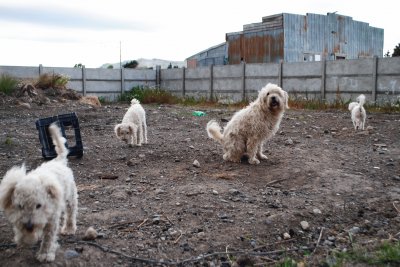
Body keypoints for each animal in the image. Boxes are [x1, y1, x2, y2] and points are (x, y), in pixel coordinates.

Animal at [0, 123, 78, 264]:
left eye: (39, 205)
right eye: (20, 206)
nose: (29, 226)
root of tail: (59, 160)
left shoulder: (52, 219)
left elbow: (48, 238)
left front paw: (45, 254)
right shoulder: (20, 217)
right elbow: (20, 227)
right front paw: (23, 238)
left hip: (70, 196)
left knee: (71, 211)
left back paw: (69, 229)